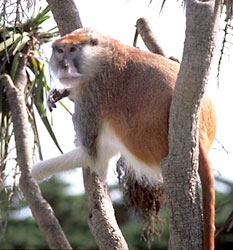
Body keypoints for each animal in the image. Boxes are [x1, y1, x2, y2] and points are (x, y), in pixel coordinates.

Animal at [31, 28, 217, 249]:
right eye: (60, 51)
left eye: (72, 49)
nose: (64, 66)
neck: (102, 56)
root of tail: (200, 132)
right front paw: (61, 90)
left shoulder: (91, 95)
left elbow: (93, 158)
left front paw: (36, 172)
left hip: (144, 141)